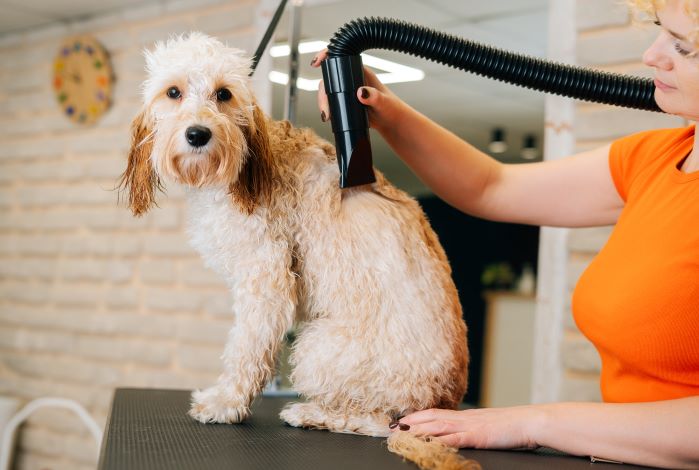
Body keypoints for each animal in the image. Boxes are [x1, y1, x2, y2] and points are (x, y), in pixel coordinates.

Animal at [120, 32, 470, 444]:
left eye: (223, 94)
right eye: (173, 92)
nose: (197, 134)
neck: (247, 161)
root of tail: (446, 396)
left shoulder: (265, 278)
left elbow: (246, 348)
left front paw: (226, 402)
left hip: (320, 351)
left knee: (385, 424)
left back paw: (312, 414)